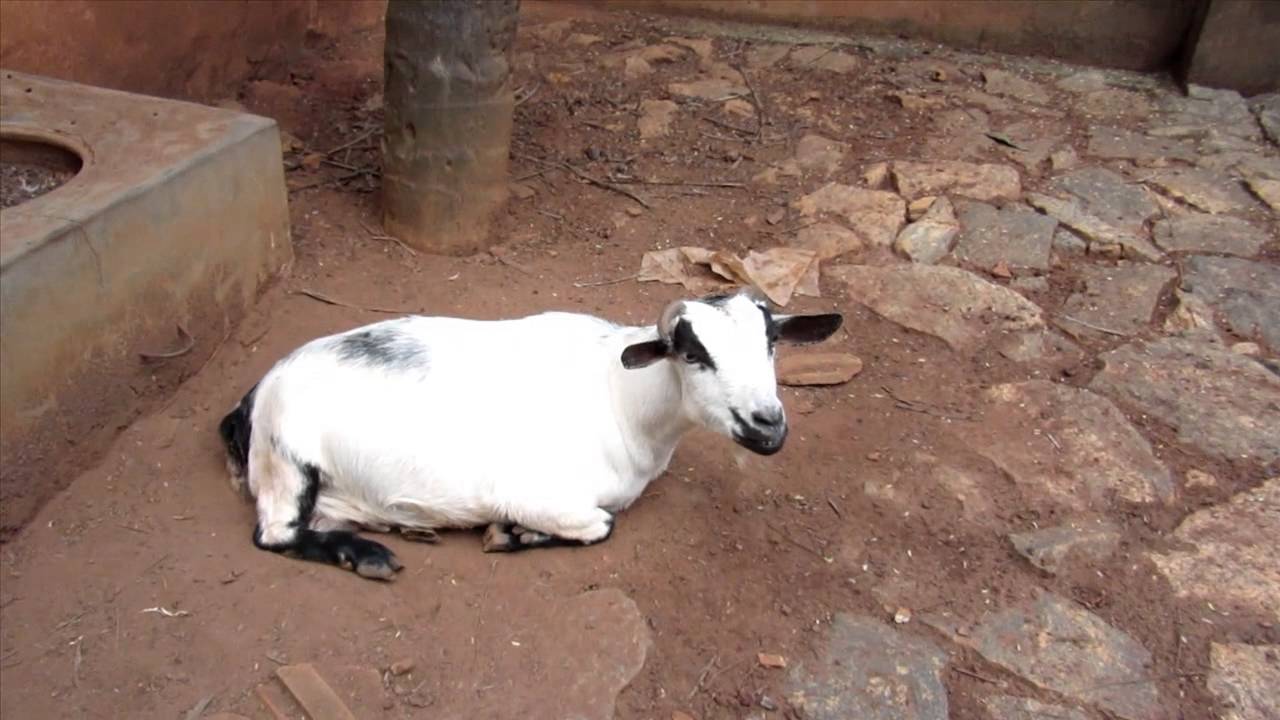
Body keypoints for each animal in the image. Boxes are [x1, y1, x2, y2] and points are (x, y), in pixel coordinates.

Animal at [218, 287, 843, 579]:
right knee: (276, 534)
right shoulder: (535, 493)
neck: (620, 396)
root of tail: (251, 400)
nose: (768, 425)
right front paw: (511, 534)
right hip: (287, 460)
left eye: (771, 341)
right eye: (692, 352)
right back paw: (367, 555)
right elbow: (602, 524)